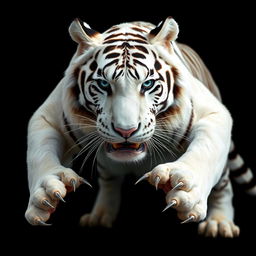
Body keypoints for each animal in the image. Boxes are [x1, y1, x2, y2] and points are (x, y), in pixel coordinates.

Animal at [25, 17, 254, 237]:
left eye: (147, 84)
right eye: (104, 84)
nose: (125, 130)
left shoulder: (214, 114)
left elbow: (204, 151)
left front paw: (185, 188)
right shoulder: (47, 117)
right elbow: (39, 155)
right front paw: (47, 190)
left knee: (224, 186)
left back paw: (220, 223)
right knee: (109, 180)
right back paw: (100, 216)